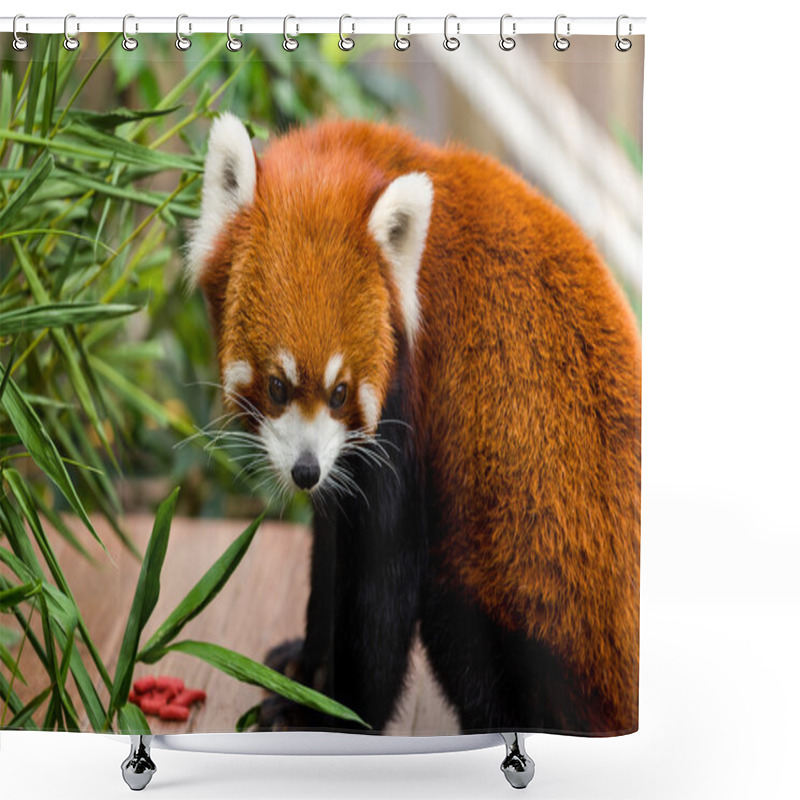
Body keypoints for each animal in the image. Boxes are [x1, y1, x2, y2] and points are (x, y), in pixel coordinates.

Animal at [184, 112, 640, 736]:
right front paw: (306, 663)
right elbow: (332, 544)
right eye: (277, 386)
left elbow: (382, 585)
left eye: (340, 391)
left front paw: (330, 715)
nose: (305, 472)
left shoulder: (411, 401)